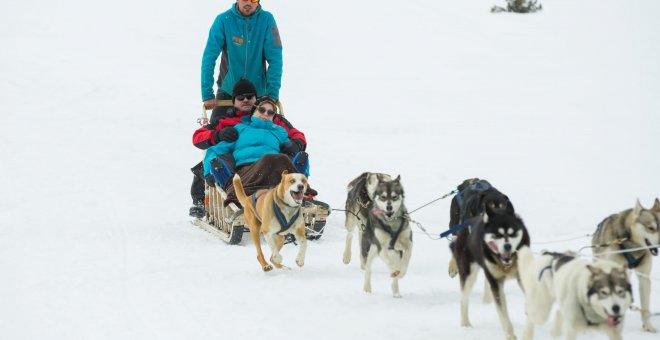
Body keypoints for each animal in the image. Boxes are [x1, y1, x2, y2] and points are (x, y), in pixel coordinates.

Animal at [452, 206, 528, 338]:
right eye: (497, 235)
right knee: (464, 299)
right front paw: (510, 335)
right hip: (468, 274)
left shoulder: (521, 275)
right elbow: (503, 313)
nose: (507, 246)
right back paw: (465, 324)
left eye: (512, 233)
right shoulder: (495, 282)